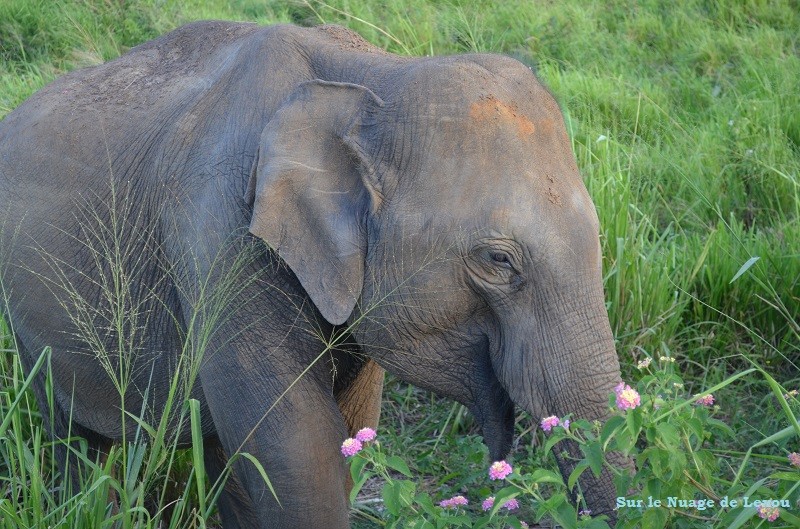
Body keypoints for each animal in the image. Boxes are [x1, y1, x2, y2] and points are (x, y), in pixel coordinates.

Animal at [0, 20, 624, 528]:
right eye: (499, 261)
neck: (373, 76)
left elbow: (344, 431)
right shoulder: (220, 234)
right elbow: (299, 453)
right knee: (73, 436)